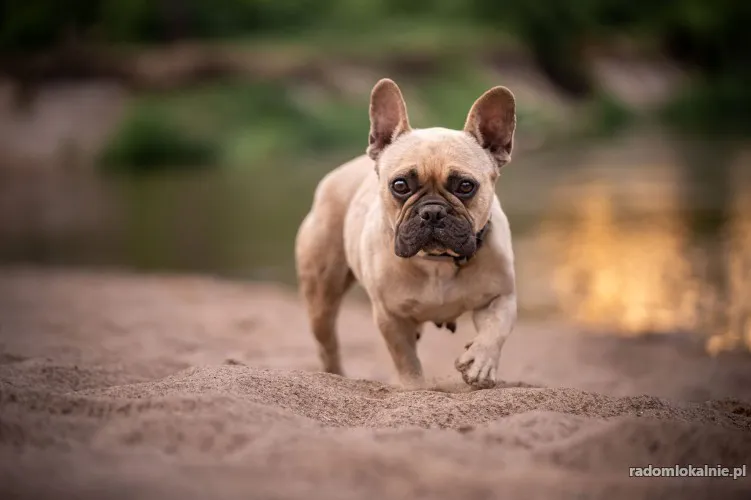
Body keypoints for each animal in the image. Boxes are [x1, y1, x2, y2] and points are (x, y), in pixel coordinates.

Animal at [294, 79, 516, 390]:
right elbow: (405, 358)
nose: (432, 212)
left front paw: (480, 364)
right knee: (327, 343)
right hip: (321, 297)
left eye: (465, 186)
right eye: (400, 185)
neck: (437, 262)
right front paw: (413, 387)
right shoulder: (391, 316)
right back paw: (333, 375)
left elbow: (496, 330)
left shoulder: (502, 296)